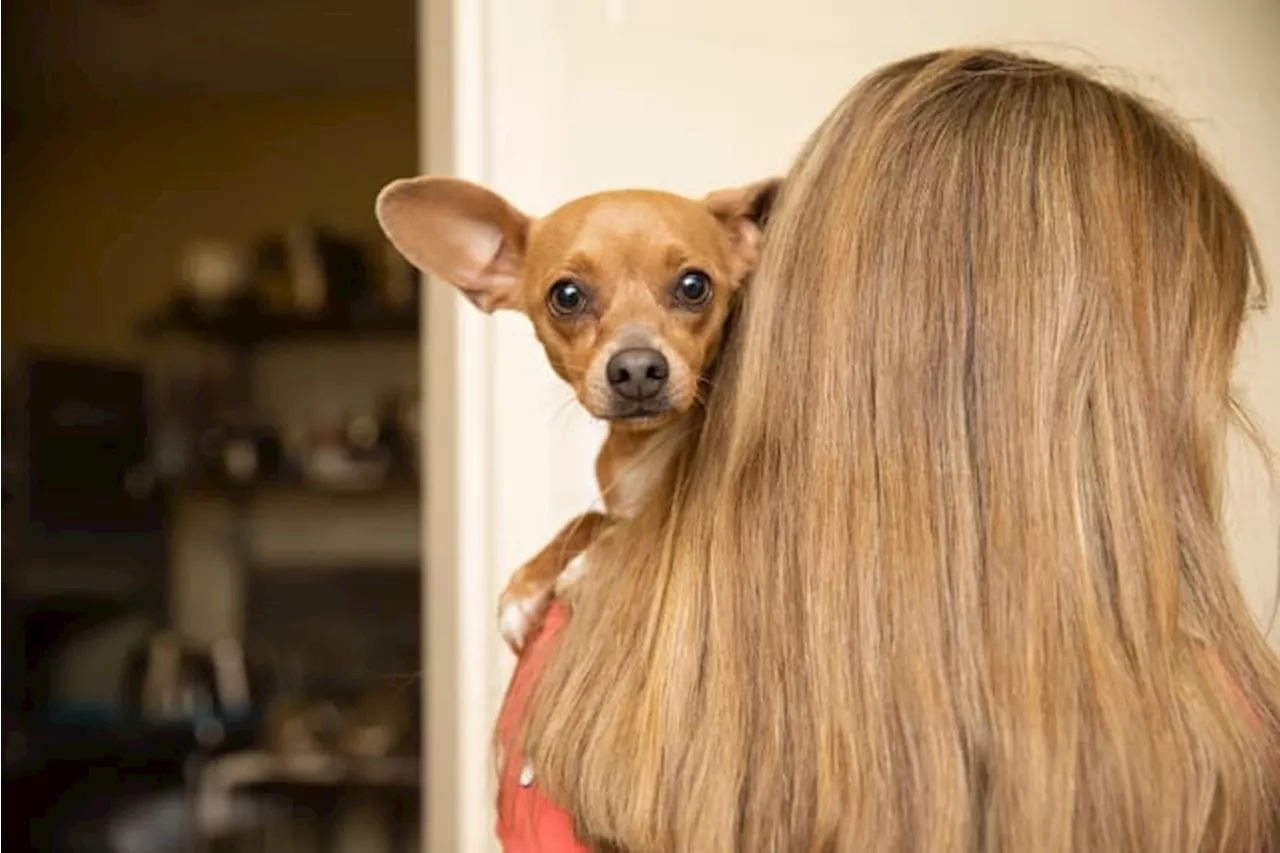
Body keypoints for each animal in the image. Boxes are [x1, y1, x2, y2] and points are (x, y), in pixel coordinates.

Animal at [373, 175, 773, 648]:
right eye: (566, 296)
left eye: (694, 286)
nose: (637, 368)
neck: (642, 450)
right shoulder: (612, 507)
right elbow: (586, 517)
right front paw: (527, 584)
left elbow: (652, 520)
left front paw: (590, 565)